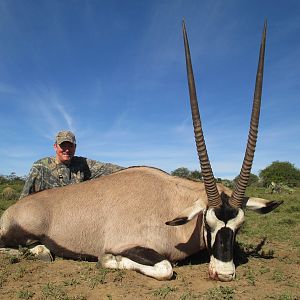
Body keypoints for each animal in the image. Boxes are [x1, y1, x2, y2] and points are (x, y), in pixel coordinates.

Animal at [0, 21, 282, 282]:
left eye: (240, 226)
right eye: (208, 223)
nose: (223, 274)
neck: (170, 202)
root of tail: (13, 209)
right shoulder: (135, 246)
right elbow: (165, 268)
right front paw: (108, 260)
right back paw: (41, 251)